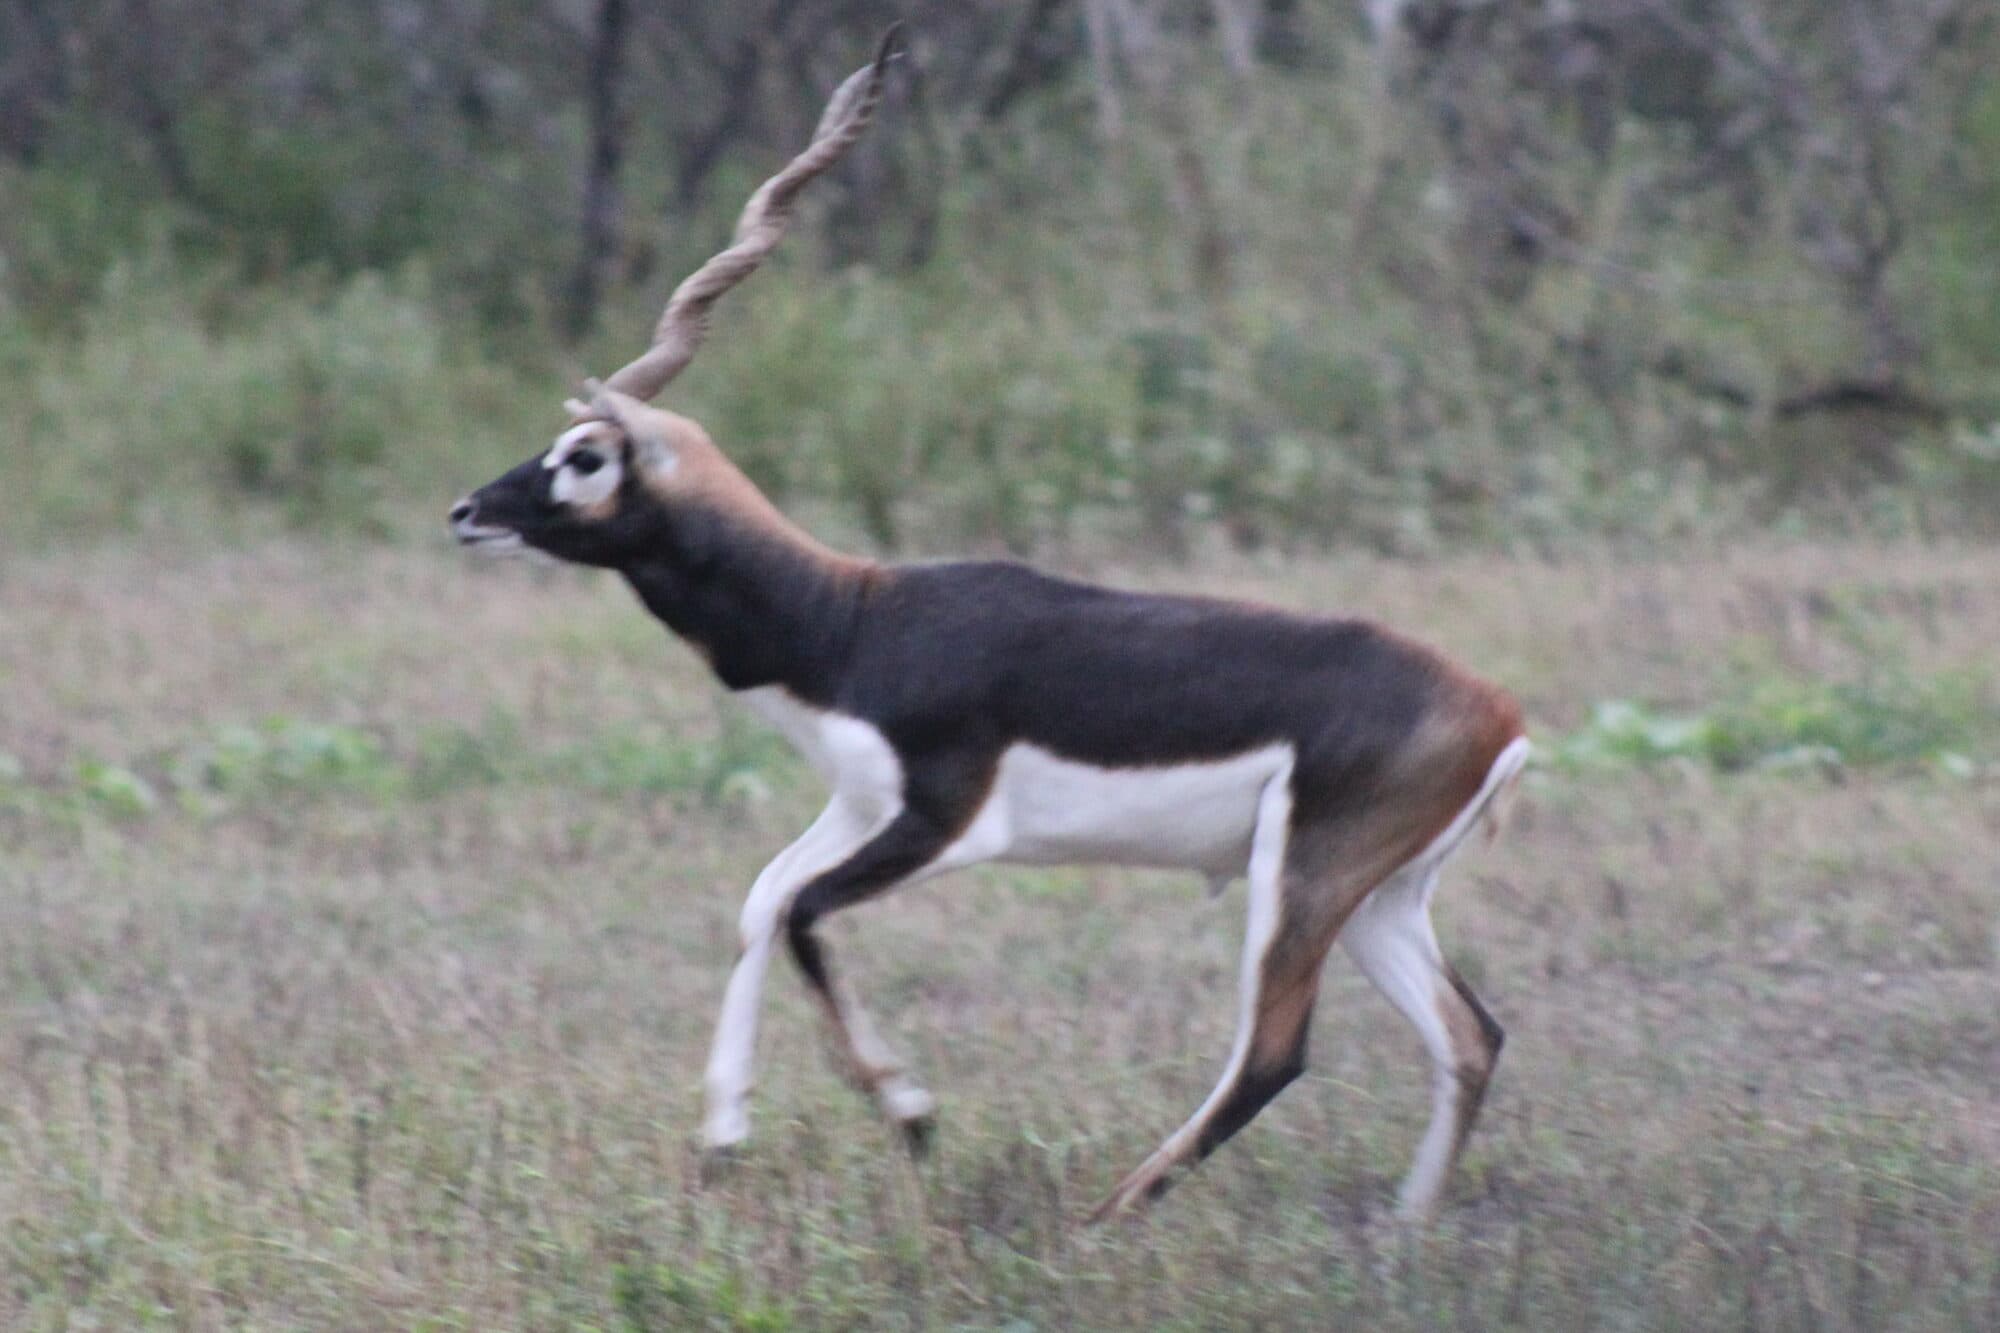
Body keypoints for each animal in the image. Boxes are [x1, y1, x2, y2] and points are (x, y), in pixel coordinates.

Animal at [449, 28, 1529, 1223]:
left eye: (585, 456)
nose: (467, 511)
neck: (849, 623)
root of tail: (1498, 711)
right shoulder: (858, 802)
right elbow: (760, 899)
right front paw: (723, 1135)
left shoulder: (946, 824)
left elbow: (801, 913)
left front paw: (911, 1113)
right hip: (1379, 896)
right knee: (1469, 1035)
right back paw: (1399, 1232)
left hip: (1301, 880)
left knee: (1274, 1051)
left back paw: (1104, 1219)